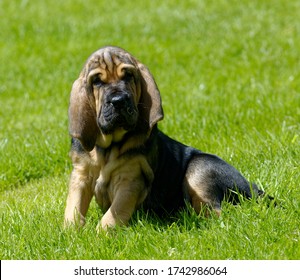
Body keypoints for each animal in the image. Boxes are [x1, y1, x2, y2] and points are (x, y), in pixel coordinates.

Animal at [63, 45, 262, 230]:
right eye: (97, 81)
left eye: (128, 76)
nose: (118, 101)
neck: (108, 146)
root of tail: (252, 187)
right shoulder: (81, 175)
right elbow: (73, 207)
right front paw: (70, 232)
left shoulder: (130, 179)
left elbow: (113, 214)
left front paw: (101, 235)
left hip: (200, 168)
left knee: (216, 213)